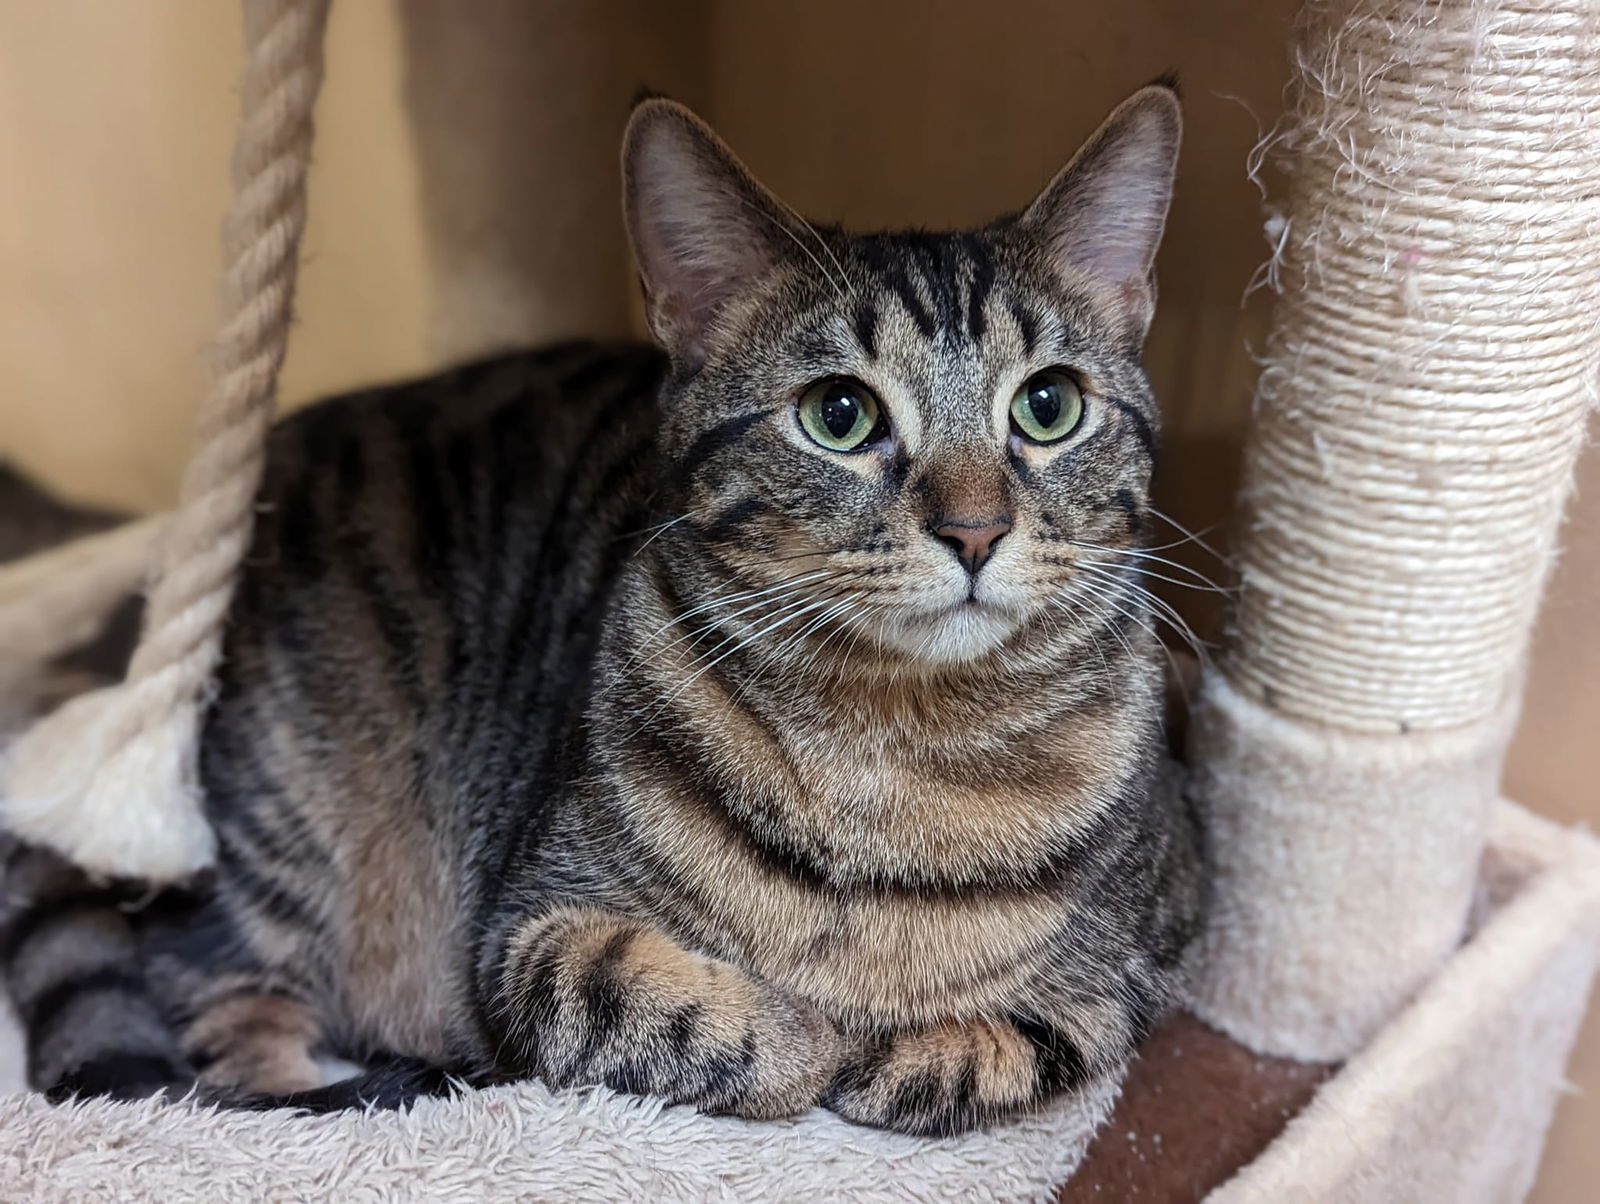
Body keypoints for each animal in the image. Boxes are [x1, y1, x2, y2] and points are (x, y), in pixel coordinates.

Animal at [3, 84, 1203, 1139]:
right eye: (839, 415)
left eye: (1047, 405)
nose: (974, 530)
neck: (895, 752)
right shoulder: (528, 924)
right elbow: (641, 995)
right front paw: (800, 1034)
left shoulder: (1148, 955)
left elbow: (1021, 1040)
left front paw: (894, 1047)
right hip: (271, 825)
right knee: (224, 1044)